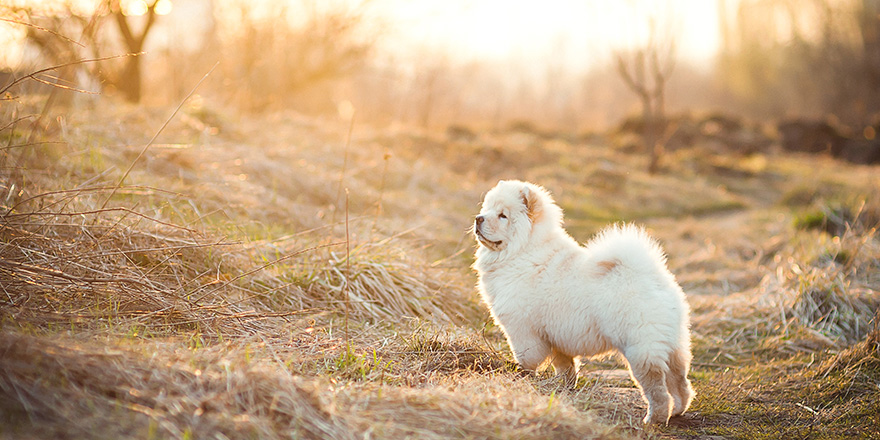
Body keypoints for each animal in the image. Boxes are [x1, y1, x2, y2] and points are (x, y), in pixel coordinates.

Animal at [474, 180, 696, 424]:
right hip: (673, 344)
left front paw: (523, 377)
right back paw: (678, 411)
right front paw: (563, 388)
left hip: (641, 348)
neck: (522, 251)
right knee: (680, 381)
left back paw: (654, 419)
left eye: (502, 215)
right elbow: (565, 366)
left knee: (657, 387)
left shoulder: (523, 330)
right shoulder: (556, 336)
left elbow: (527, 359)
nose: (478, 218)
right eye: (486, 208)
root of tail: (654, 278)